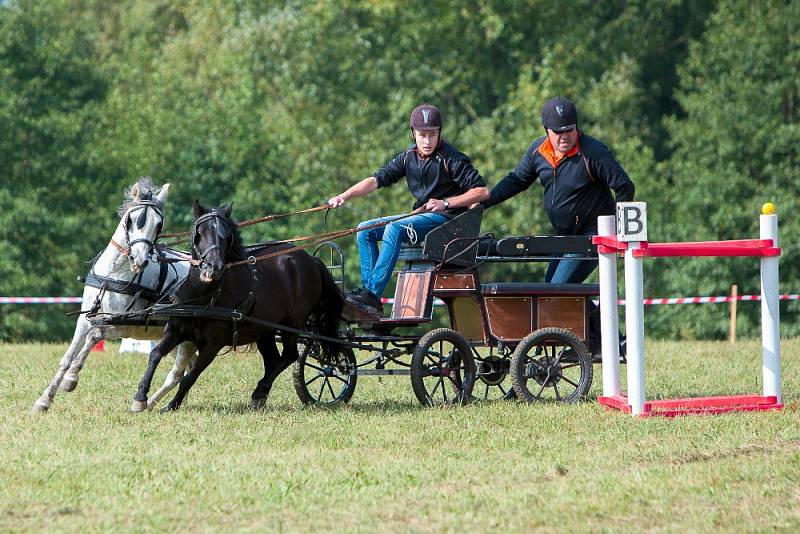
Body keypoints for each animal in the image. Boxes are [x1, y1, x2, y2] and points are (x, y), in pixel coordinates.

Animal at [132, 203, 344, 412]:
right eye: (200, 232)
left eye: (225, 236)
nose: (213, 268)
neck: (202, 298)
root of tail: (312, 261)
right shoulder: (175, 330)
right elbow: (155, 355)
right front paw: (140, 398)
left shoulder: (212, 346)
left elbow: (191, 376)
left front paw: (171, 405)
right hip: (264, 330)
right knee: (273, 361)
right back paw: (260, 395)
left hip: (292, 324)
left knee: (290, 355)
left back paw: (260, 391)